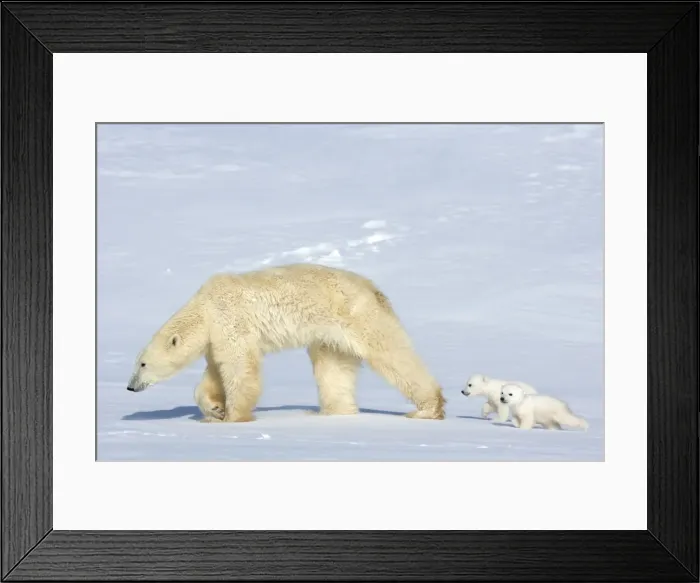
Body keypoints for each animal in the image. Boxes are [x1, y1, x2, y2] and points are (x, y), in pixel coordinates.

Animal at [126, 263, 446, 423]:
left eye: (142, 363)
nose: (130, 387)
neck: (205, 309)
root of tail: (374, 289)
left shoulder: (231, 321)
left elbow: (240, 369)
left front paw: (234, 417)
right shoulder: (216, 338)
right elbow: (215, 373)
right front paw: (214, 410)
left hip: (358, 316)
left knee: (392, 354)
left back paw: (426, 408)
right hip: (330, 337)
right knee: (333, 370)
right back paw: (330, 412)